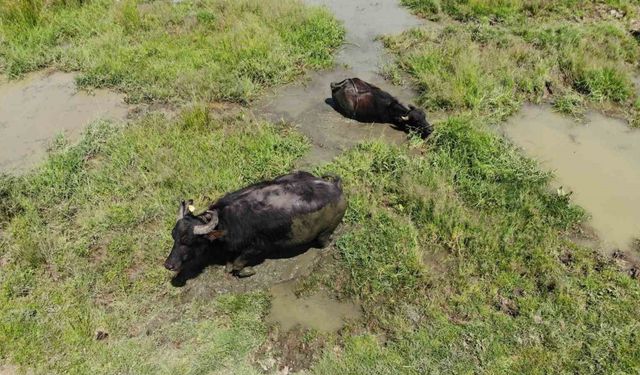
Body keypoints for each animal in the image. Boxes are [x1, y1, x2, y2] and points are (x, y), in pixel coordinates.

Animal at [162, 172, 348, 278]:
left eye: (188, 241)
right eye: (174, 237)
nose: (168, 265)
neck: (225, 222)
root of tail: (336, 187)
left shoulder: (257, 248)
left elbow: (237, 264)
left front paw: (246, 271)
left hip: (324, 234)